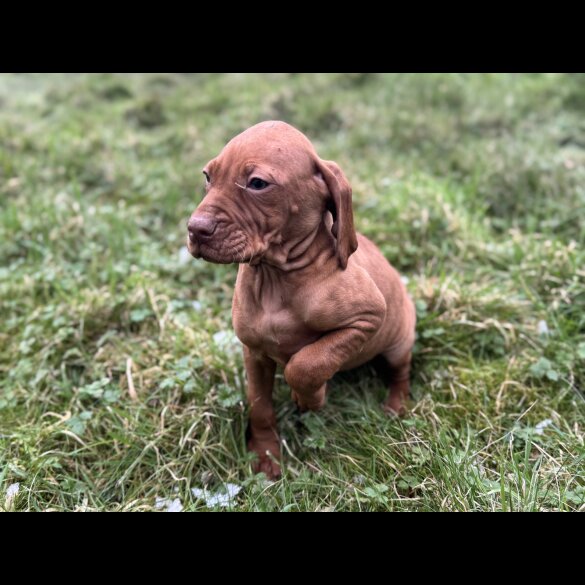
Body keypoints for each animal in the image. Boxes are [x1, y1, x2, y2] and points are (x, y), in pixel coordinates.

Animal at [187, 121, 416, 476]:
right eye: (208, 177)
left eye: (257, 184)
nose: (194, 229)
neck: (276, 278)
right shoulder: (254, 353)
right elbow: (260, 406)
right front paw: (265, 454)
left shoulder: (368, 318)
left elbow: (307, 362)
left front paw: (311, 398)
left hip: (398, 339)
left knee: (400, 372)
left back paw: (396, 405)